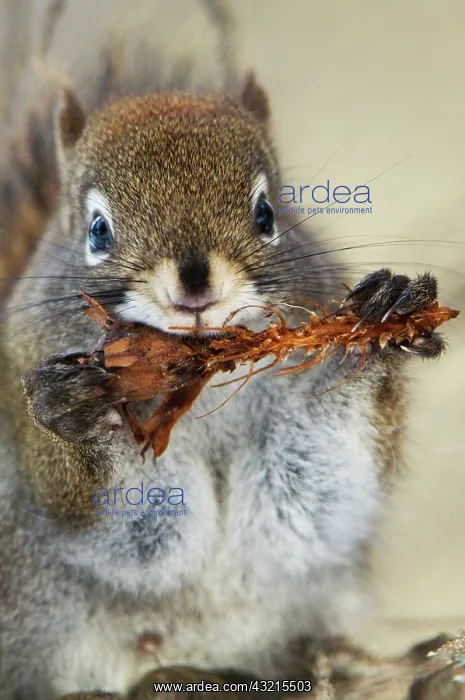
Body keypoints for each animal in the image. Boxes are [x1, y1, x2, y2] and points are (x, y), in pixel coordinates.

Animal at [0, 1, 449, 699]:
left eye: (267, 214)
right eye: (97, 231)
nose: (194, 283)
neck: (197, 375)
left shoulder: (305, 502)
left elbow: (319, 499)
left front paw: (377, 328)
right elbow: (121, 529)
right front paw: (73, 413)